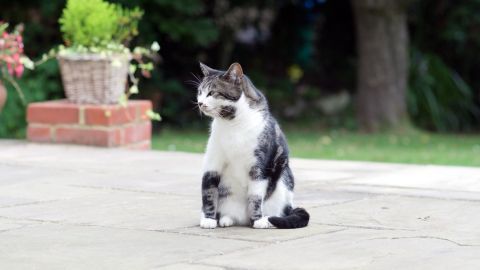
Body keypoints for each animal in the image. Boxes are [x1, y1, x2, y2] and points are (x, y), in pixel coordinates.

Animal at [197, 62, 310, 229]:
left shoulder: (259, 166)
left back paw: (267, 219)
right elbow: (208, 191)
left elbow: (255, 196)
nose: (200, 103)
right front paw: (208, 219)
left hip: (285, 177)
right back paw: (225, 219)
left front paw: (257, 220)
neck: (233, 124)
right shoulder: (212, 162)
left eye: (212, 93)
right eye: (200, 92)